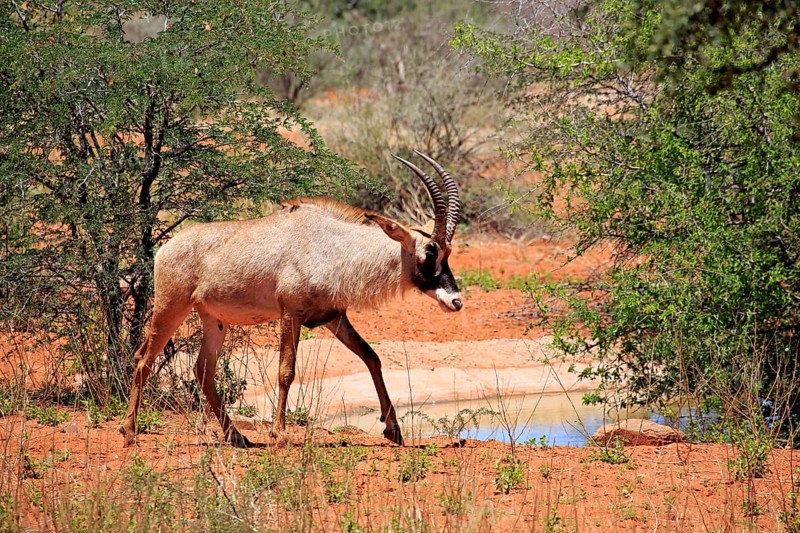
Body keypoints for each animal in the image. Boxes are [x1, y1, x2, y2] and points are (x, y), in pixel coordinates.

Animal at [119, 152, 463, 448]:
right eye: (430, 252)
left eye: (447, 253)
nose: (456, 302)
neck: (331, 245)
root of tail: (166, 248)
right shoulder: (290, 313)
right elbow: (286, 372)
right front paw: (280, 434)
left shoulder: (333, 317)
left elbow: (372, 357)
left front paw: (394, 430)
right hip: (171, 308)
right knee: (143, 359)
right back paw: (129, 432)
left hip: (214, 320)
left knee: (203, 370)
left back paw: (238, 437)